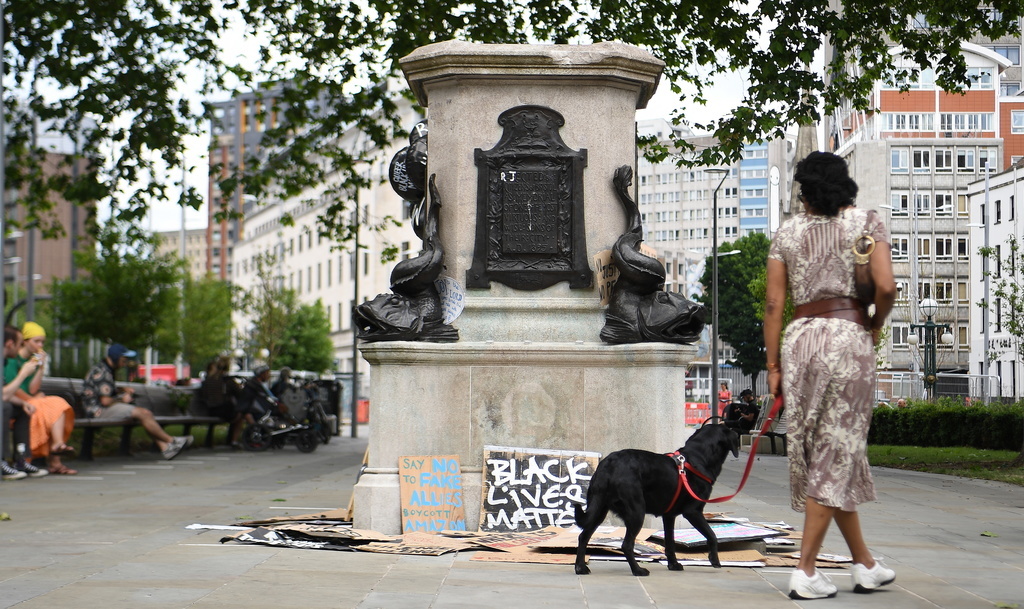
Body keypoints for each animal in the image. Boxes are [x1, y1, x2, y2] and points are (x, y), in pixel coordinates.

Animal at [577, 423, 737, 577]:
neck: (697, 459)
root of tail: (609, 464)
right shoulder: (693, 512)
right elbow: (712, 534)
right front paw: (714, 559)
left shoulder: (669, 516)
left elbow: (670, 543)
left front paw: (673, 564)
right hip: (636, 512)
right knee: (626, 545)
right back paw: (638, 570)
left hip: (598, 510)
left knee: (583, 536)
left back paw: (580, 567)